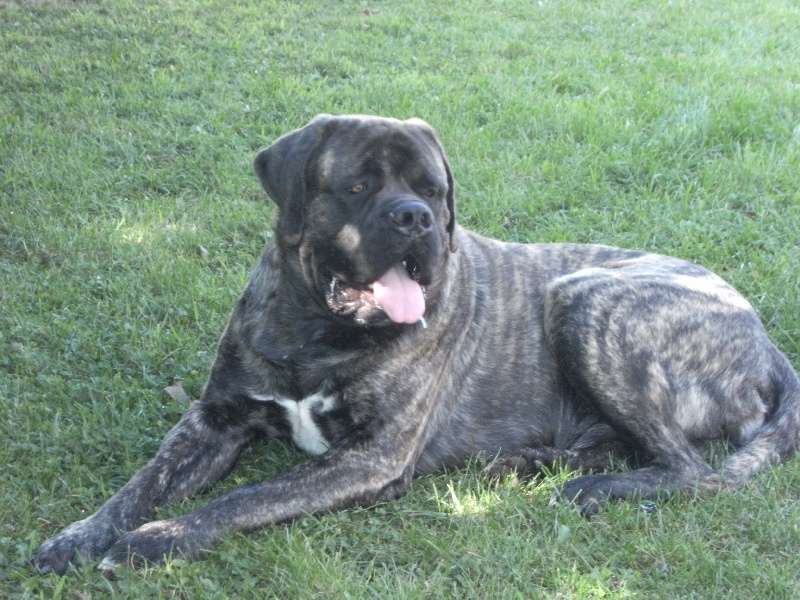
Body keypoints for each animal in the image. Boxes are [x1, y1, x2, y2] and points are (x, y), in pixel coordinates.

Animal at [35, 114, 800, 575]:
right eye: (356, 184)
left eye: (434, 190)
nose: (415, 218)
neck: (316, 327)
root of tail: (765, 340)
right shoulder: (213, 421)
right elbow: (142, 481)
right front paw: (79, 535)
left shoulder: (369, 457)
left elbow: (244, 498)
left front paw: (159, 539)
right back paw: (531, 463)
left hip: (585, 300)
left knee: (690, 470)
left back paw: (590, 488)